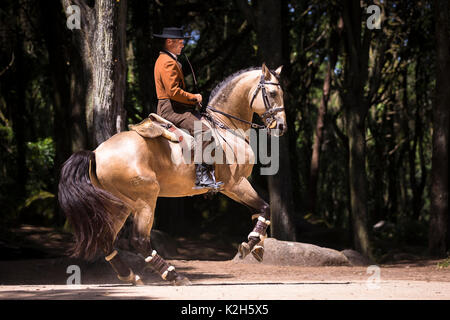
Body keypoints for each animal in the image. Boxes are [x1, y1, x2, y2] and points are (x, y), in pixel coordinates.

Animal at [58, 62, 286, 284]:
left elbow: (260, 209)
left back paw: (131, 276)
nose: (282, 126)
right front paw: (251, 243)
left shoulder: (231, 187)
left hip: (118, 205)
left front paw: (257, 245)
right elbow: (265, 207)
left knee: (106, 239)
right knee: (139, 240)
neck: (226, 128)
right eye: (273, 93)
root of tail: (96, 153)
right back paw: (174, 275)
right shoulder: (236, 184)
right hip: (145, 199)